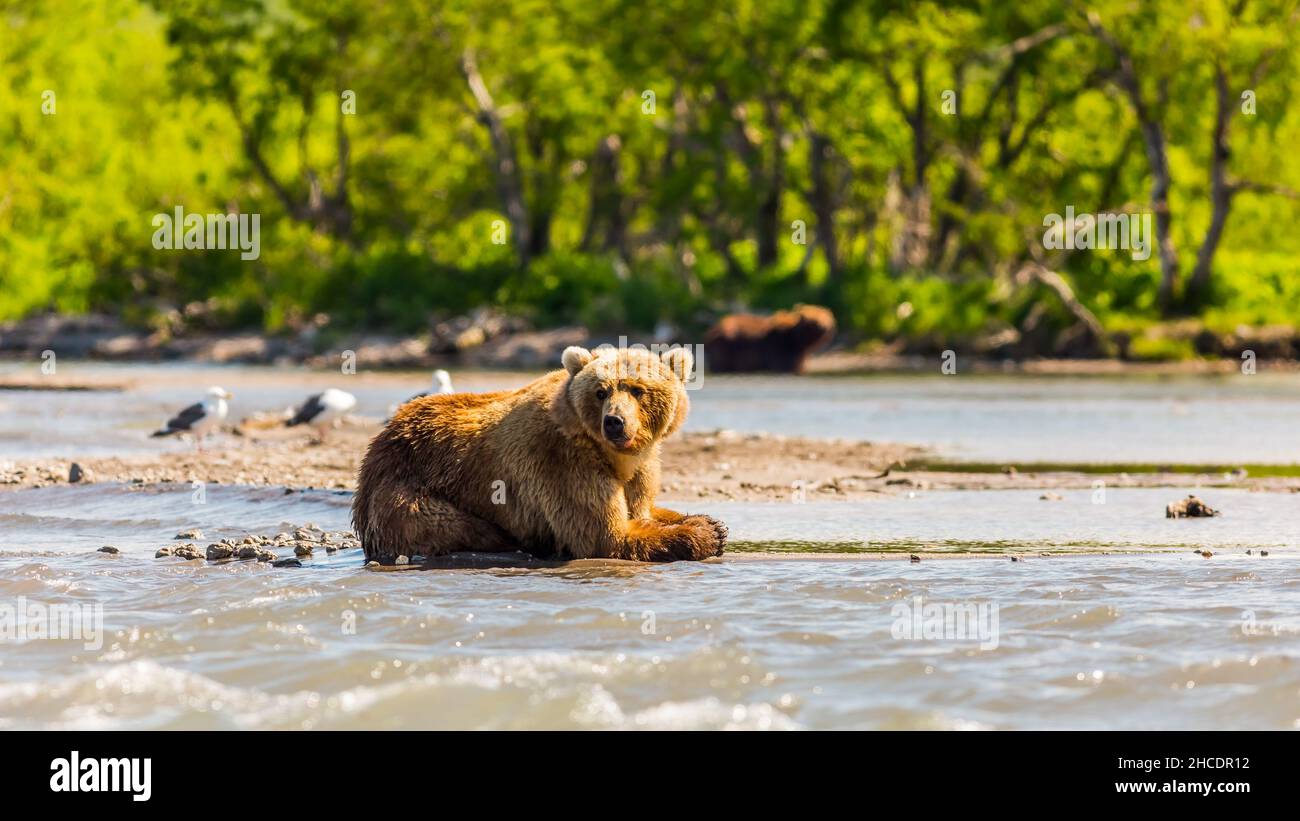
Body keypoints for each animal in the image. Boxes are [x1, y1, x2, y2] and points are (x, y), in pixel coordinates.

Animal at [351, 344, 727, 563]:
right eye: (601, 391)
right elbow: (607, 536)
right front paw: (703, 534)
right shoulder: (562, 461)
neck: (614, 454)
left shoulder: (641, 465)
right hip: (409, 491)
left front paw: (711, 522)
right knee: (452, 525)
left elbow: (642, 508)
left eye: (637, 390)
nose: (614, 422)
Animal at [703, 303, 836, 373]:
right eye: (813, 320)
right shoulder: (778, 349)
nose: (823, 326)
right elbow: (784, 365)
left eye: (826, 317)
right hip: (726, 346)